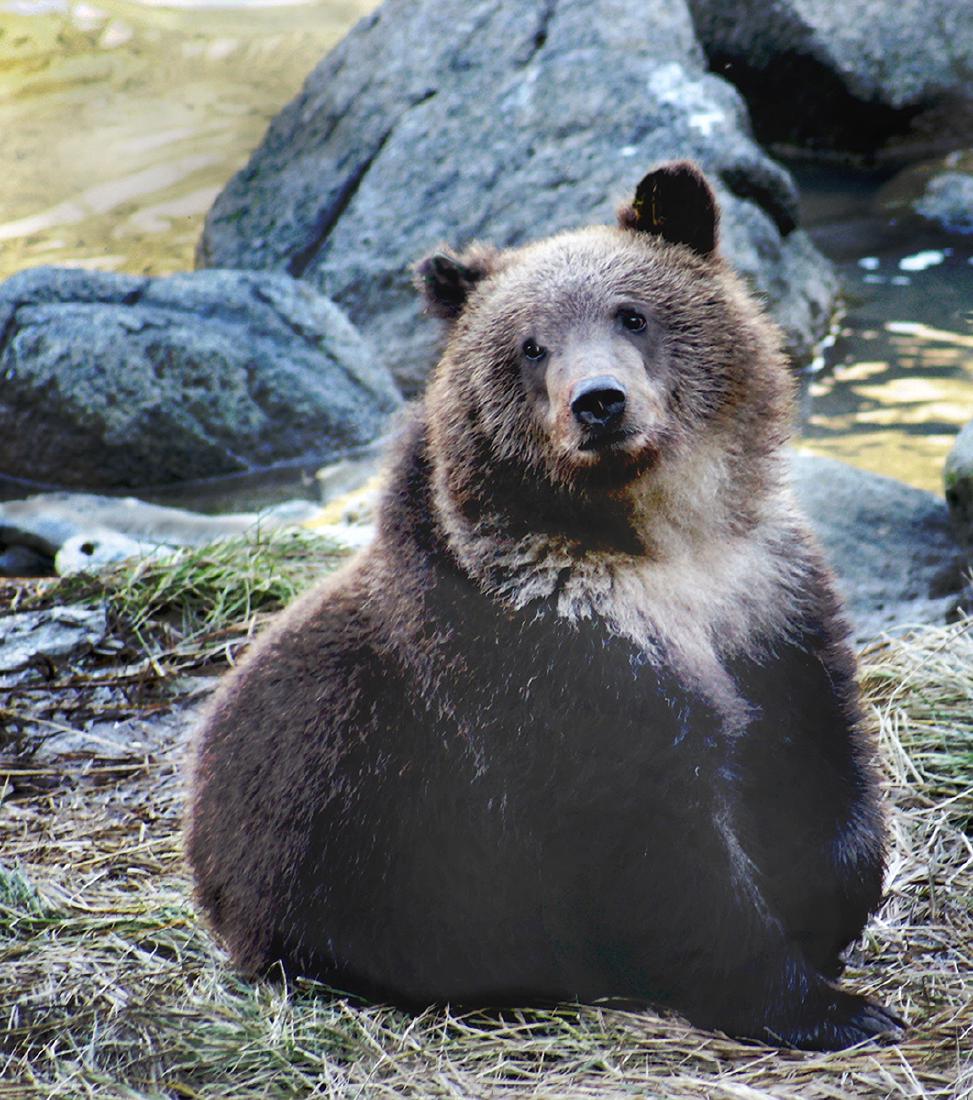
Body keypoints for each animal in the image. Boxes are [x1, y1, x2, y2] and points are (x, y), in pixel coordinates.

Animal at [186, 161, 903, 1050]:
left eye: (632, 313)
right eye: (530, 345)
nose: (598, 401)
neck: (657, 541)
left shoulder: (766, 593)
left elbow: (818, 744)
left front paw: (832, 910)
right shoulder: (551, 656)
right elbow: (658, 845)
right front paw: (823, 1006)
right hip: (340, 865)